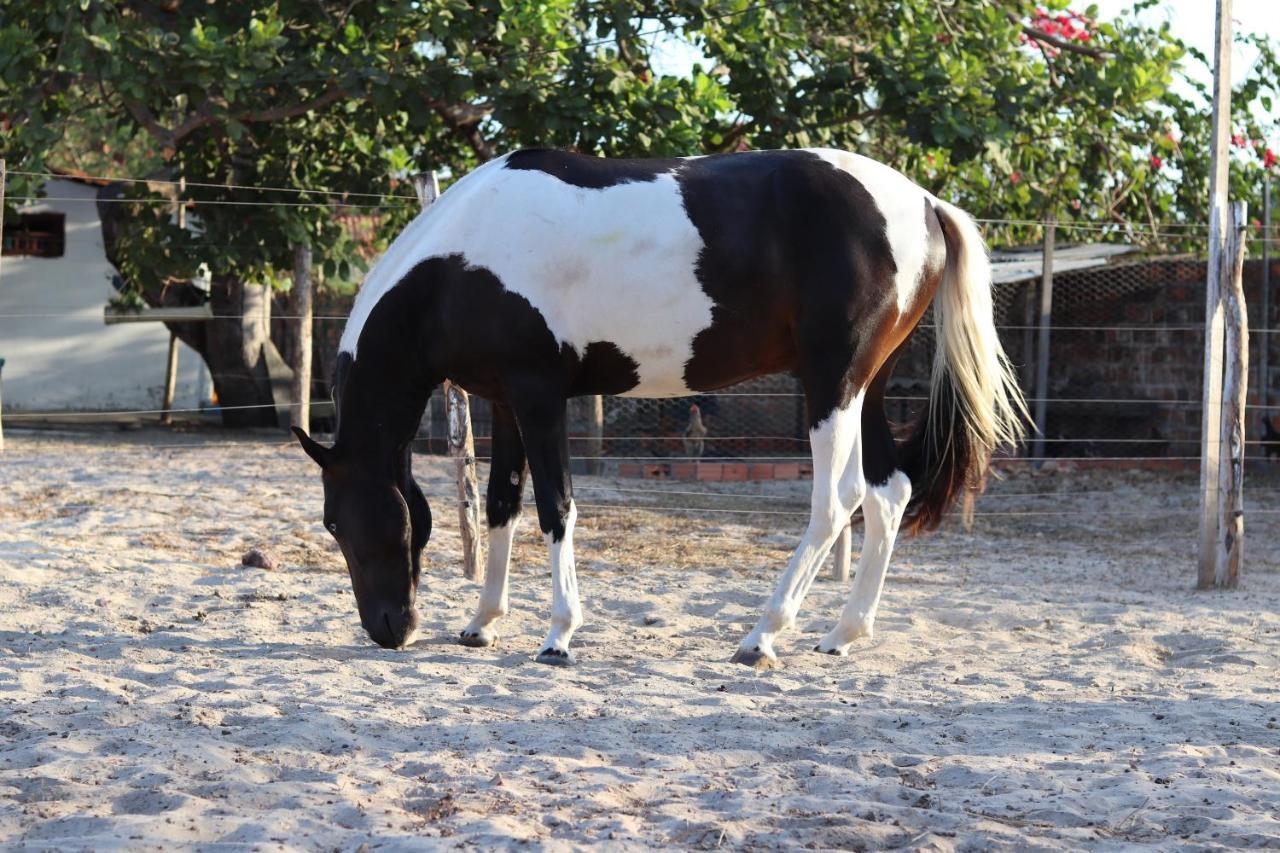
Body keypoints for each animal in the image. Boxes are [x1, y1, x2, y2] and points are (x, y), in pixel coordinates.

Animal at [294, 149, 1024, 666]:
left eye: (334, 521)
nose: (389, 629)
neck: (457, 265)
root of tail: (926, 204)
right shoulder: (503, 402)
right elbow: (501, 505)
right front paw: (481, 623)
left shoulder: (539, 396)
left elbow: (556, 508)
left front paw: (559, 634)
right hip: (864, 385)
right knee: (887, 492)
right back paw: (843, 632)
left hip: (834, 384)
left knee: (836, 501)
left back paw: (763, 635)